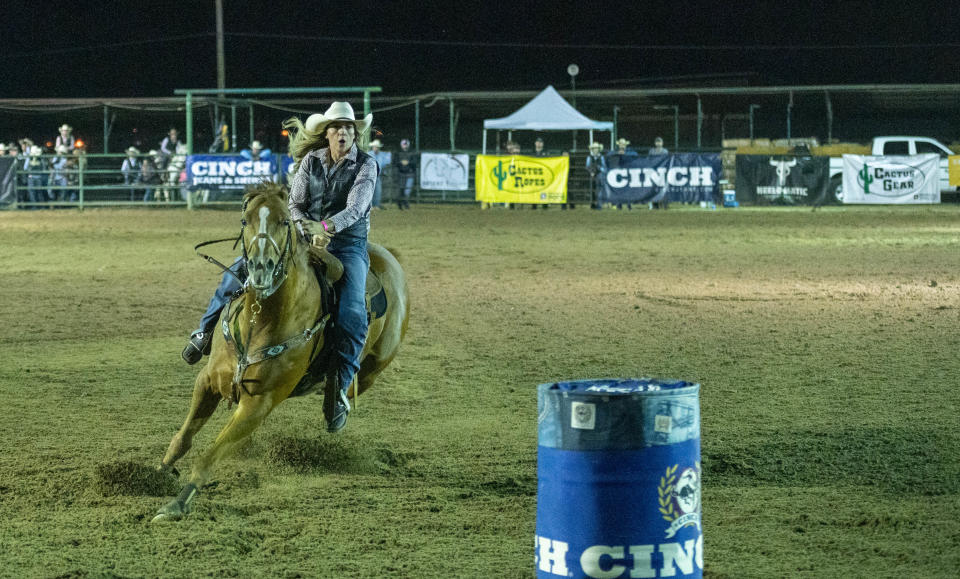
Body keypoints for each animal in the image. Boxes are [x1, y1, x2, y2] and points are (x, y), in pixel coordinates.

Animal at [152, 181, 406, 520]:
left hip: (373, 368)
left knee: (351, 378)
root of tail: (388, 257)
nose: (260, 268)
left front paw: (177, 503)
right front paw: (154, 475)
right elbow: (183, 438)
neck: (260, 319)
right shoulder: (207, 381)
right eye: (245, 220)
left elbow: (209, 456)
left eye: (285, 221)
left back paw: (334, 401)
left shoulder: (260, 402)